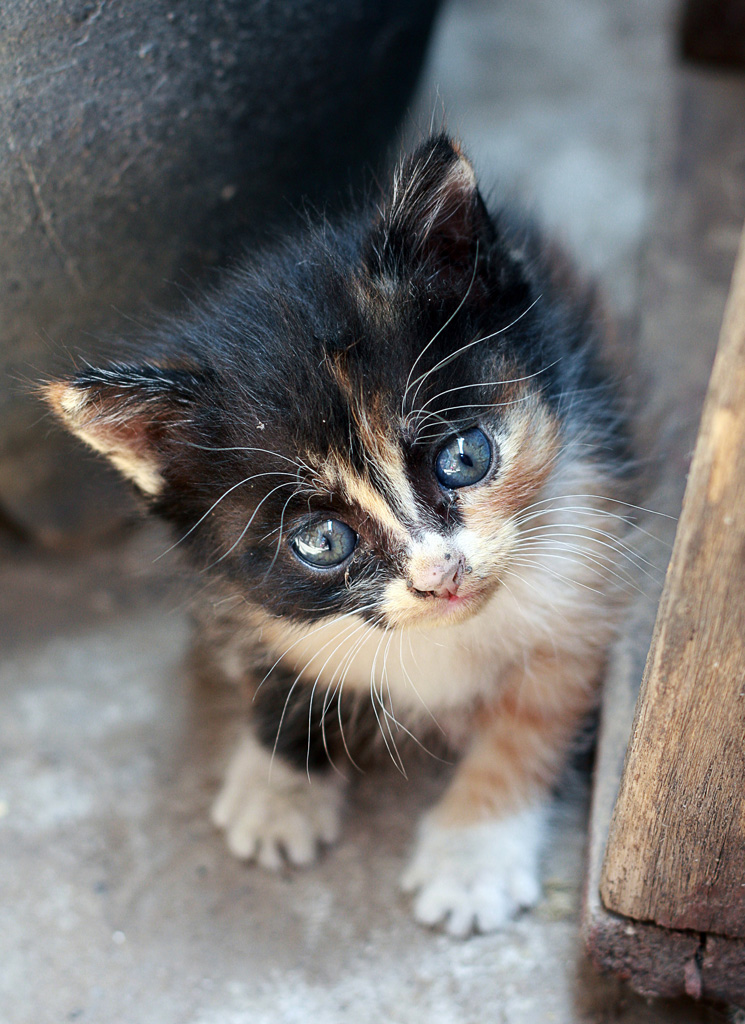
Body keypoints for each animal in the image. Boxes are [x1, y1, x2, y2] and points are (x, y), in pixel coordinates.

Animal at [45, 134, 634, 937]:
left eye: (465, 457)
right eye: (323, 541)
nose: (440, 573)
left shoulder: (587, 569)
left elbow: (532, 721)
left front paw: (472, 854)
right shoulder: (236, 598)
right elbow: (276, 668)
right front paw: (277, 786)